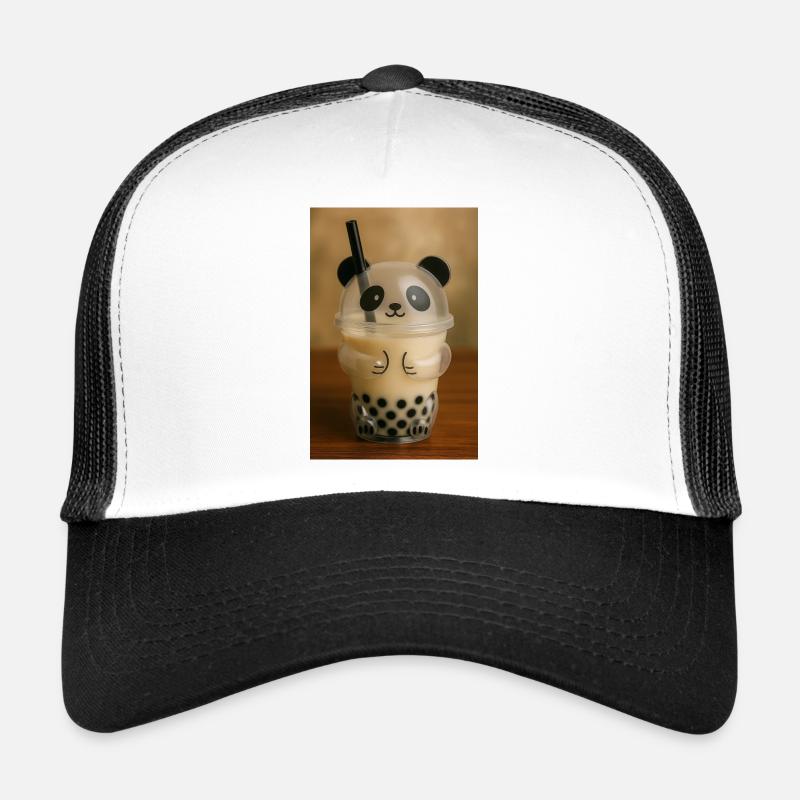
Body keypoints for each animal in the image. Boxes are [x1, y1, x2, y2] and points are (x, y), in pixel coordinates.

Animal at [336, 255, 454, 442]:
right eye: (372, 297)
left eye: (416, 297)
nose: (395, 306)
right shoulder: (349, 345)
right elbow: (346, 356)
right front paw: (376, 363)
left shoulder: (438, 347)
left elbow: (443, 357)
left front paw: (412, 364)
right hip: (357, 401)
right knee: (359, 408)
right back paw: (366, 427)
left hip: (430, 401)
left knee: (428, 408)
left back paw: (420, 428)